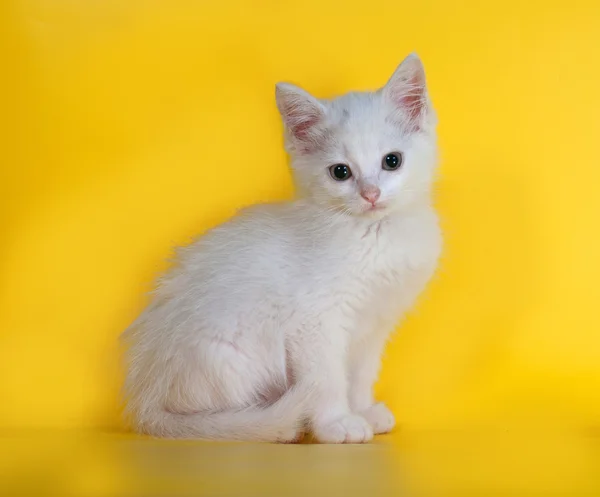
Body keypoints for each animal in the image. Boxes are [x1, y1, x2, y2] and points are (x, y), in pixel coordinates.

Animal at [122, 53, 440, 442]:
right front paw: (337, 423)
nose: (371, 194)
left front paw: (363, 409)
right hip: (230, 352)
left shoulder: (373, 325)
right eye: (340, 172)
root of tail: (146, 400)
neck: (374, 235)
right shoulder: (314, 321)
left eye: (391, 161)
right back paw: (269, 424)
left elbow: (361, 374)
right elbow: (327, 379)